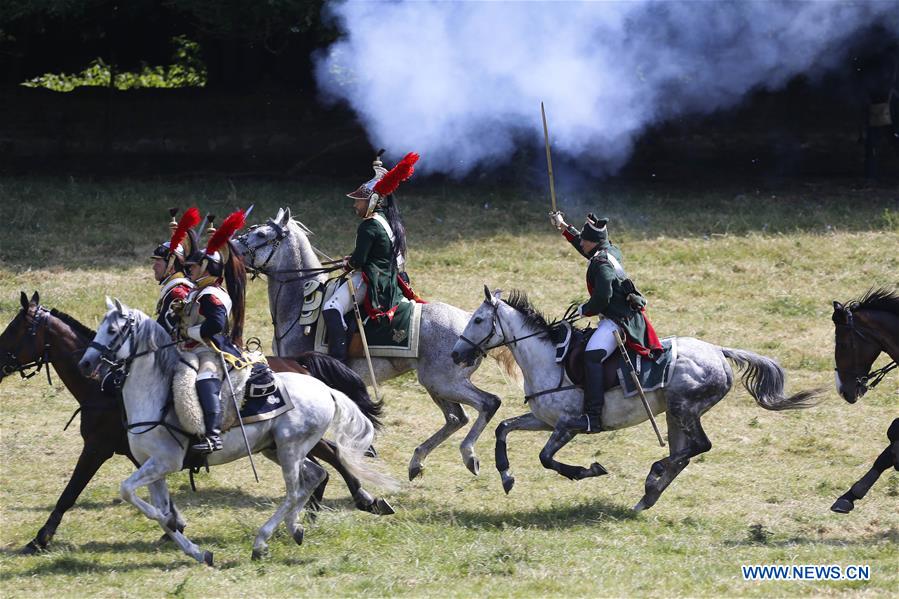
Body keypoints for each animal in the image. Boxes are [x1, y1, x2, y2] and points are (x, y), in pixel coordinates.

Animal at [0, 292, 394, 556]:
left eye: (16, 329)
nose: (87, 364)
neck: (110, 389)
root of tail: (305, 368)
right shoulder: (142, 458)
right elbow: (156, 503)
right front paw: (176, 530)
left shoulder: (104, 449)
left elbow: (72, 493)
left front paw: (40, 538)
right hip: (275, 448)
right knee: (317, 471)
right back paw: (303, 520)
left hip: (288, 447)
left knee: (319, 469)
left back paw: (348, 506)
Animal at [232, 209, 512, 480]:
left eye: (262, 235)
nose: (231, 247)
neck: (301, 305)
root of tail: (468, 322)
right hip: (436, 385)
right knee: (456, 417)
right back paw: (417, 462)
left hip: (444, 382)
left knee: (487, 403)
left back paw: (468, 455)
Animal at [450, 290, 824, 510]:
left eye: (478, 319)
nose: (455, 354)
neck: (546, 358)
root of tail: (718, 352)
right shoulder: (544, 420)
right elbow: (503, 428)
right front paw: (505, 475)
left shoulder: (569, 425)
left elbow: (546, 458)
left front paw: (587, 471)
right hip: (675, 415)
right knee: (684, 453)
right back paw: (648, 496)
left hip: (684, 408)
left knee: (697, 447)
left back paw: (653, 475)